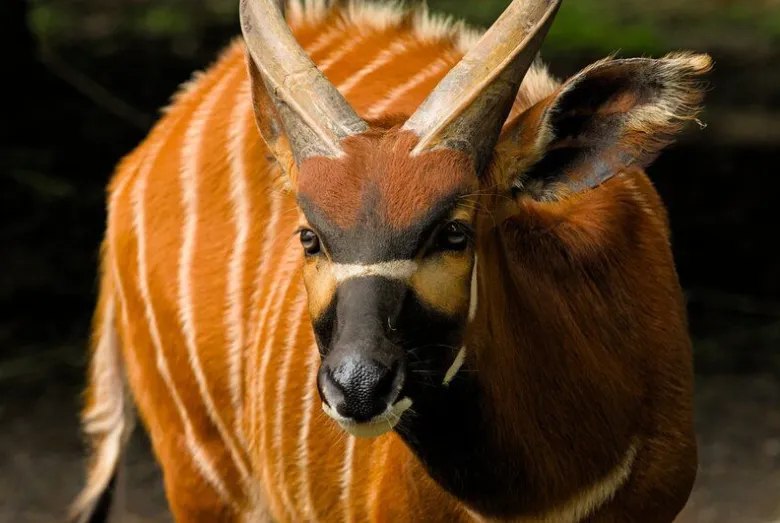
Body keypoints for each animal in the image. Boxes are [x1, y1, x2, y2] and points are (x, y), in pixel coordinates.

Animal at [70, 0, 708, 520]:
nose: (357, 387)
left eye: (454, 232)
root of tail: (138, 161)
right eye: (309, 237)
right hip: (201, 471)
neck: (536, 498)